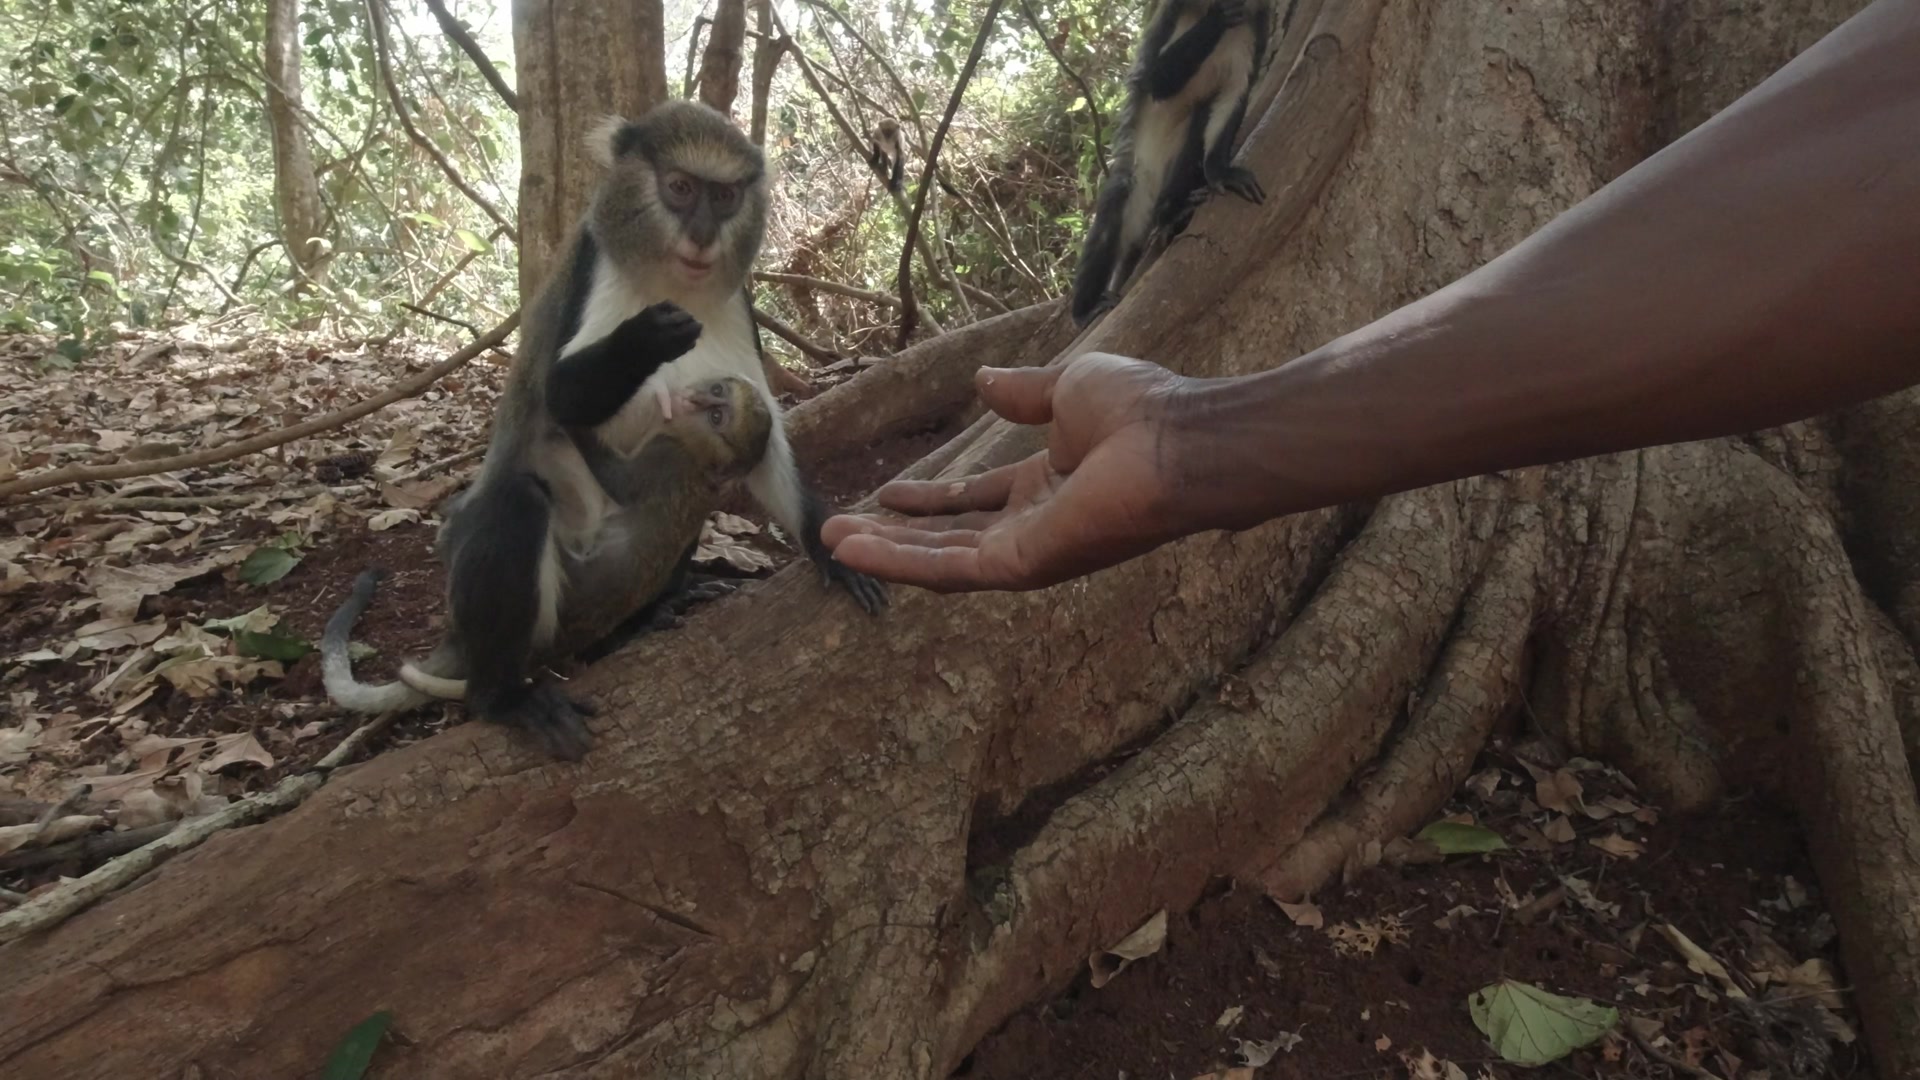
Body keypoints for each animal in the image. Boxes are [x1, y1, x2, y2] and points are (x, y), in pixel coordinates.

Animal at [321, 376, 773, 734]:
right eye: (717, 392)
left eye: (718, 416)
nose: (696, 400)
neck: (703, 458)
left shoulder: (665, 457)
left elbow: (613, 478)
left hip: (545, 619)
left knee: (519, 499)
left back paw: (499, 698)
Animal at [1069, 0, 1271, 327]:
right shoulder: (1172, 13)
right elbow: (1156, 79)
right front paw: (1218, 17)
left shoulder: (1257, 24)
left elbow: (1234, 93)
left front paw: (1221, 173)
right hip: (1139, 183)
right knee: (1119, 192)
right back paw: (1083, 311)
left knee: (1197, 122)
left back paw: (1172, 212)